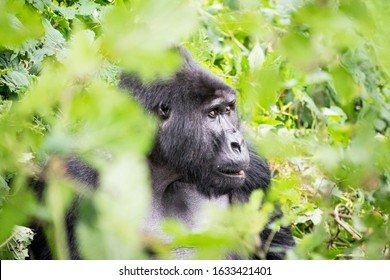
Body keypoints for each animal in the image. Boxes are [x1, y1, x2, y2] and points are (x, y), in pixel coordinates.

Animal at [29, 47, 294, 260]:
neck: (163, 168)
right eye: (212, 113)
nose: (238, 142)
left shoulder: (256, 174)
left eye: (228, 109)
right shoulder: (74, 176)